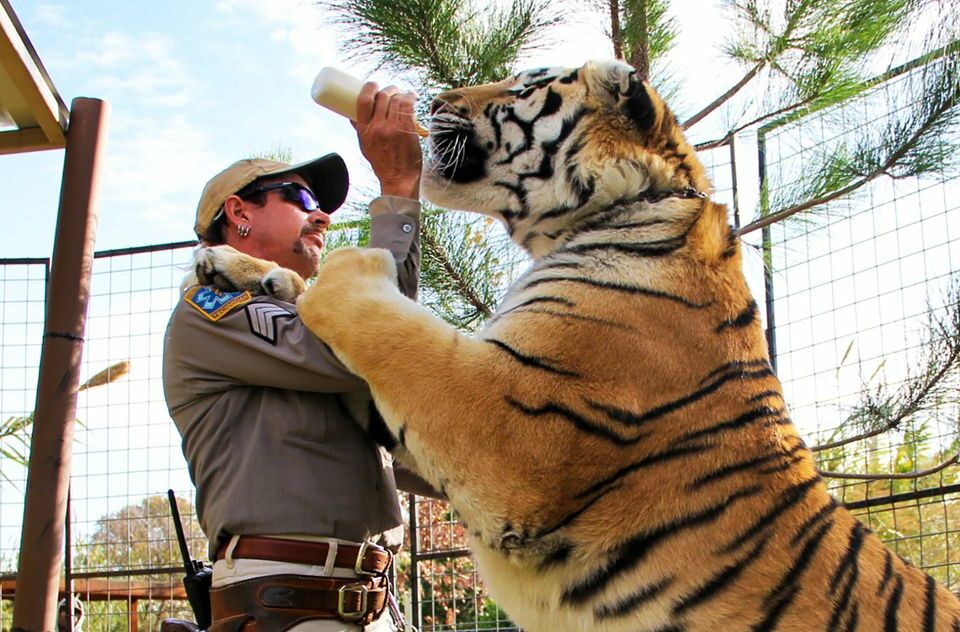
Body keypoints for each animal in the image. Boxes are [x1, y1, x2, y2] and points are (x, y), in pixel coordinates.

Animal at [198, 59, 960, 631]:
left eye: (522, 88)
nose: (435, 100)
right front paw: (235, 265)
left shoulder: (507, 424)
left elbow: (393, 325)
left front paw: (345, 265)